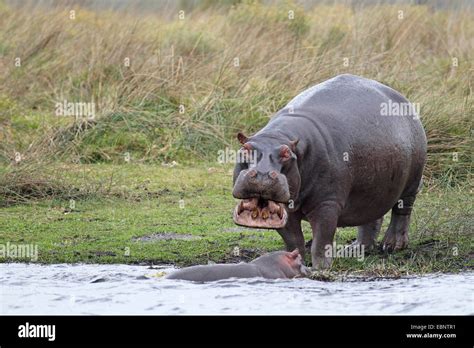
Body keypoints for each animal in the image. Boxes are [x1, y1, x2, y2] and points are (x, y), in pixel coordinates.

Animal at [231, 73, 428, 270]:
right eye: (245, 149)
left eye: (286, 154)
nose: (262, 174)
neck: (279, 137)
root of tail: (402, 98)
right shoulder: (284, 210)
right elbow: (294, 240)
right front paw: (295, 262)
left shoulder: (328, 203)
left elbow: (321, 241)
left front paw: (320, 268)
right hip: (374, 186)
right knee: (371, 217)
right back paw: (353, 249)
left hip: (411, 183)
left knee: (402, 211)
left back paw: (392, 245)